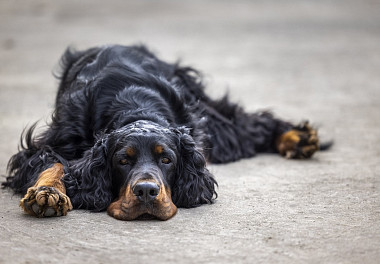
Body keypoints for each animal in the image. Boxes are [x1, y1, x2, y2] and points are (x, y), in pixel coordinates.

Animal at [1, 44, 330, 220]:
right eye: (123, 160)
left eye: (167, 159)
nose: (147, 192)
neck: (134, 106)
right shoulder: (53, 142)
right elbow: (51, 162)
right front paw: (48, 192)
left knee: (248, 124)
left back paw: (296, 138)